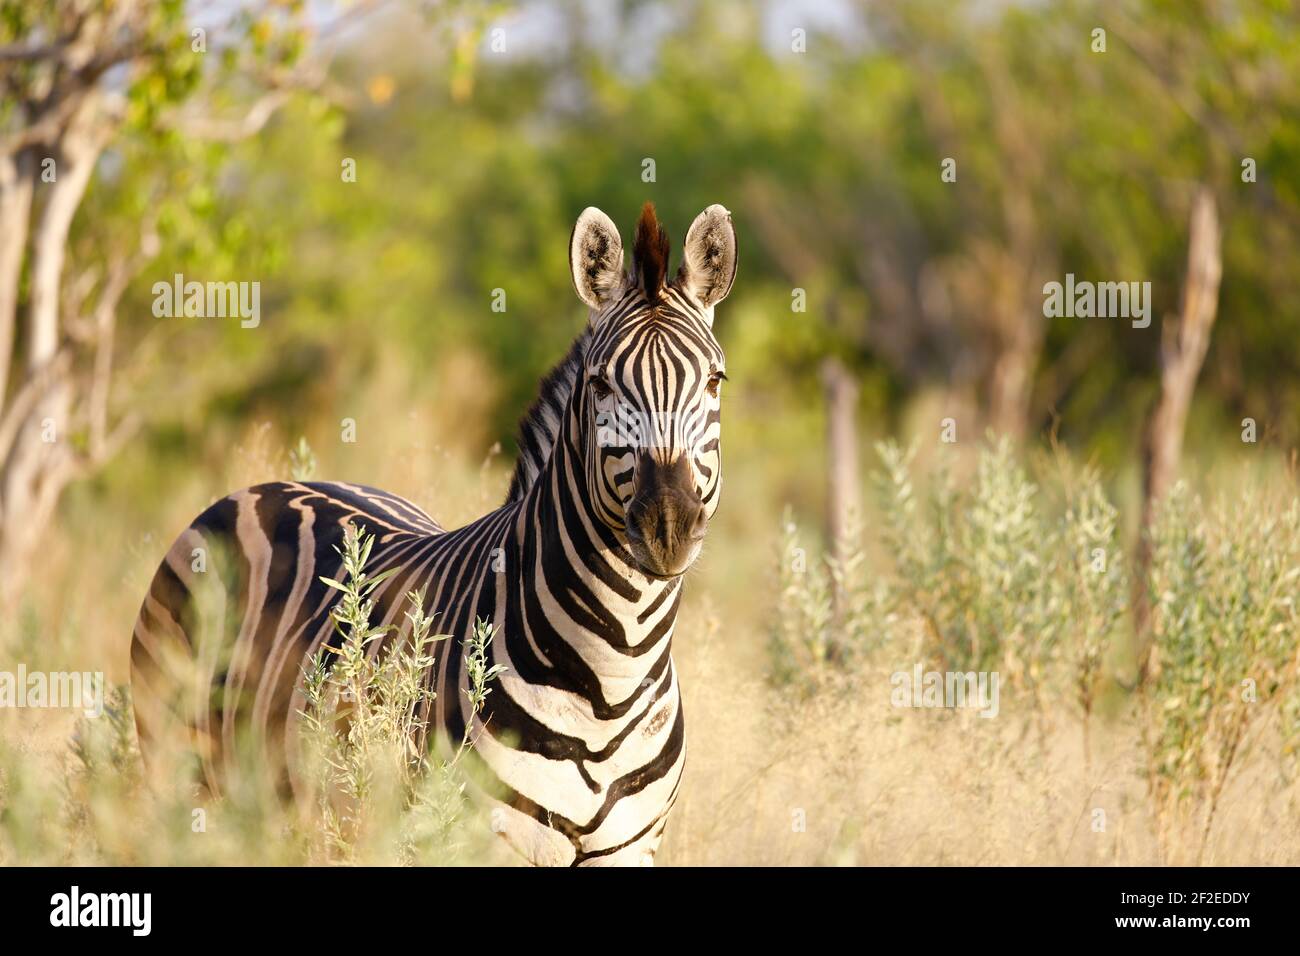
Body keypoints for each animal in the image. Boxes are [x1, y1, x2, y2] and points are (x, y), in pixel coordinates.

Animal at [130, 201, 737, 866]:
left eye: (715, 382)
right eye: (601, 384)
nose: (667, 525)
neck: (614, 678)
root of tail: (259, 488)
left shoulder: (629, 849)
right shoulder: (488, 838)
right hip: (180, 772)